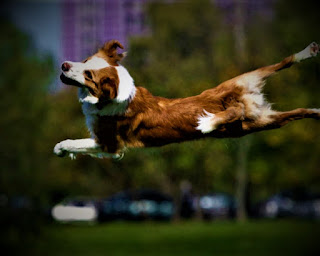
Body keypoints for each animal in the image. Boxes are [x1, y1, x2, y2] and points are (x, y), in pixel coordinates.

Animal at [54, 40, 320, 159]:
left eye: (88, 75)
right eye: (86, 61)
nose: (64, 65)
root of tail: (241, 99)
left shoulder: (110, 146)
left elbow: (76, 143)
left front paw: (62, 148)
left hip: (244, 91)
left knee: (237, 108)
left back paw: (208, 122)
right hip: (259, 107)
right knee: (292, 93)